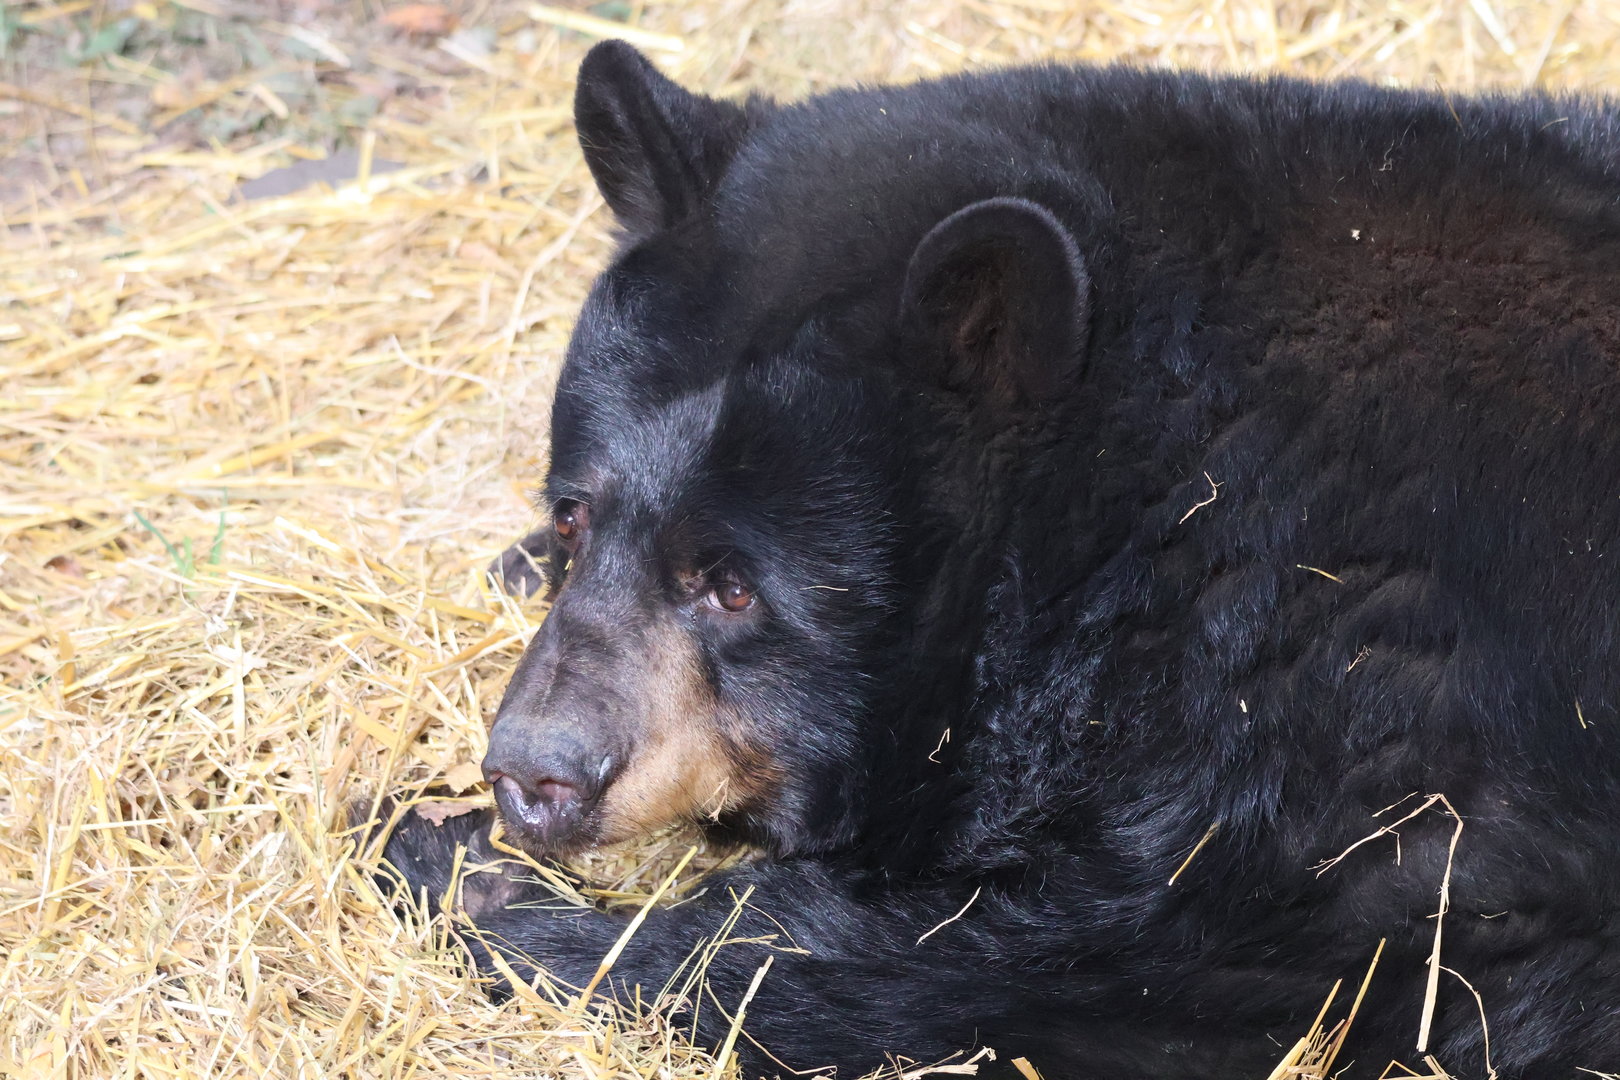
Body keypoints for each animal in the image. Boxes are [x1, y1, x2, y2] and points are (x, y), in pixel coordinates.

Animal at [377, 42, 1620, 1080]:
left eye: (730, 585)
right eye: (575, 516)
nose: (536, 775)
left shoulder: (1359, 769)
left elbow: (989, 968)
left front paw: (445, 863)